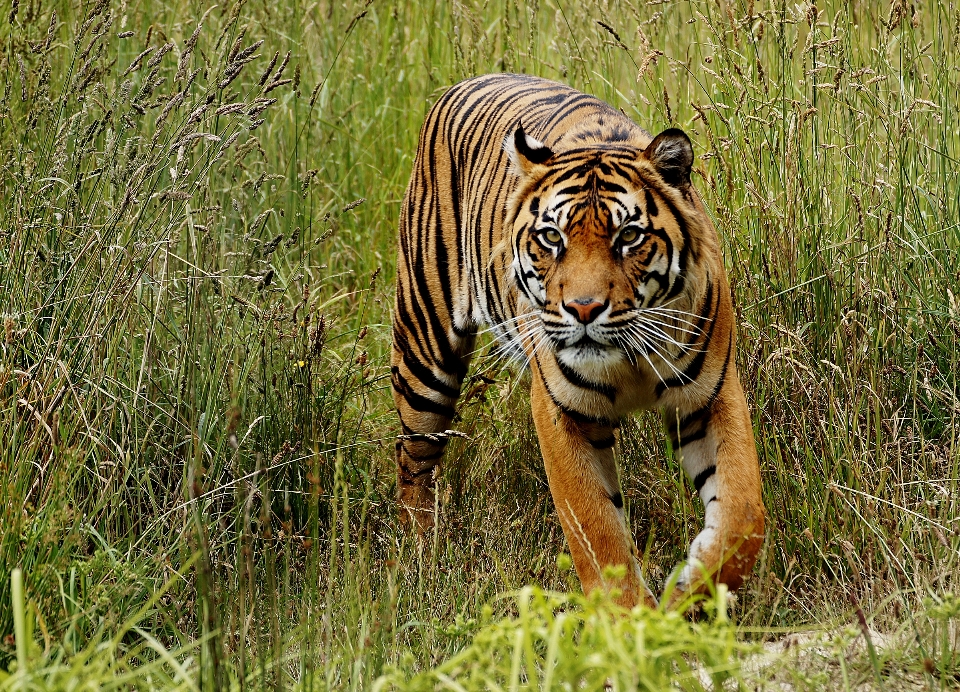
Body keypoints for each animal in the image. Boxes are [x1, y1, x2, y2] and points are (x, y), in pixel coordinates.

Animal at [390, 73, 764, 608]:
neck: (629, 358)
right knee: (414, 458)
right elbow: (596, 529)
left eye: (628, 237)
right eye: (552, 238)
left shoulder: (709, 395)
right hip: (425, 351)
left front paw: (689, 592)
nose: (583, 309)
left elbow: (743, 514)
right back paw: (421, 556)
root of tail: (464, 83)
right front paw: (632, 621)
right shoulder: (562, 412)